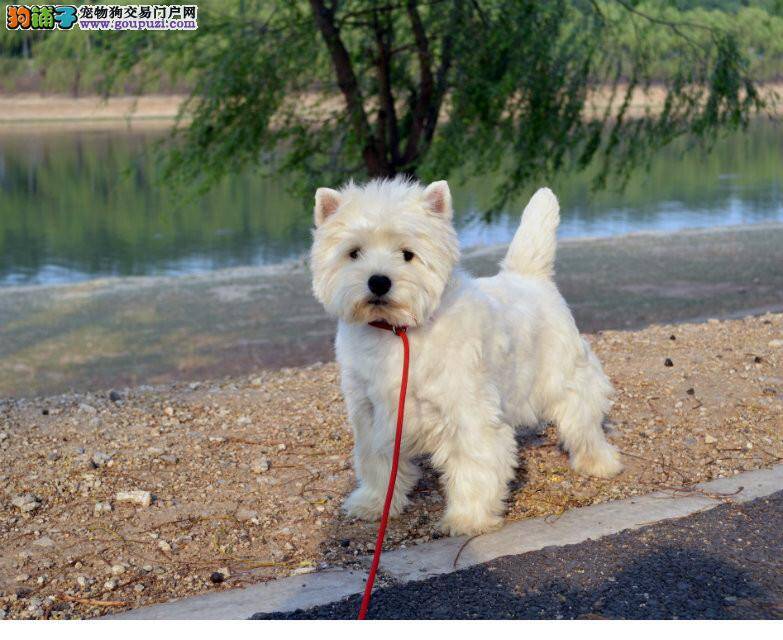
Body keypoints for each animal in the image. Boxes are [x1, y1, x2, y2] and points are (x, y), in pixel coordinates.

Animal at [310, 176, 620, 536]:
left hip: (568, 377)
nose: (378, 282)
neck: (397, 332)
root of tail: (530, 277)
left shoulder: (467, 411)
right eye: (354, 253)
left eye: (407, 254)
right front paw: (373, 502)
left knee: (583, 422)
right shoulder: (372, 414)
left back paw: (600, 463)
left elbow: (475, 463)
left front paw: (467, 518)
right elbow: (375, 460)